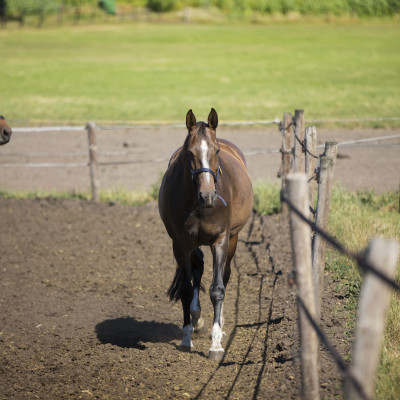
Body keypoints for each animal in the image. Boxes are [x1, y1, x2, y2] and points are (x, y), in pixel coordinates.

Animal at [158, 107, 252, 360]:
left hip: (232, 240)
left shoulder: (220, 240)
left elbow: (217, 289)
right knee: (197, 269)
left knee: (225, 276)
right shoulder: (181, 244)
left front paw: (216, 344)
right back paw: (196, 317)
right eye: (189, 152)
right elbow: (186, 288)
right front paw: (186, 337)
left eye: (216, 150)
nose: (208, 196)